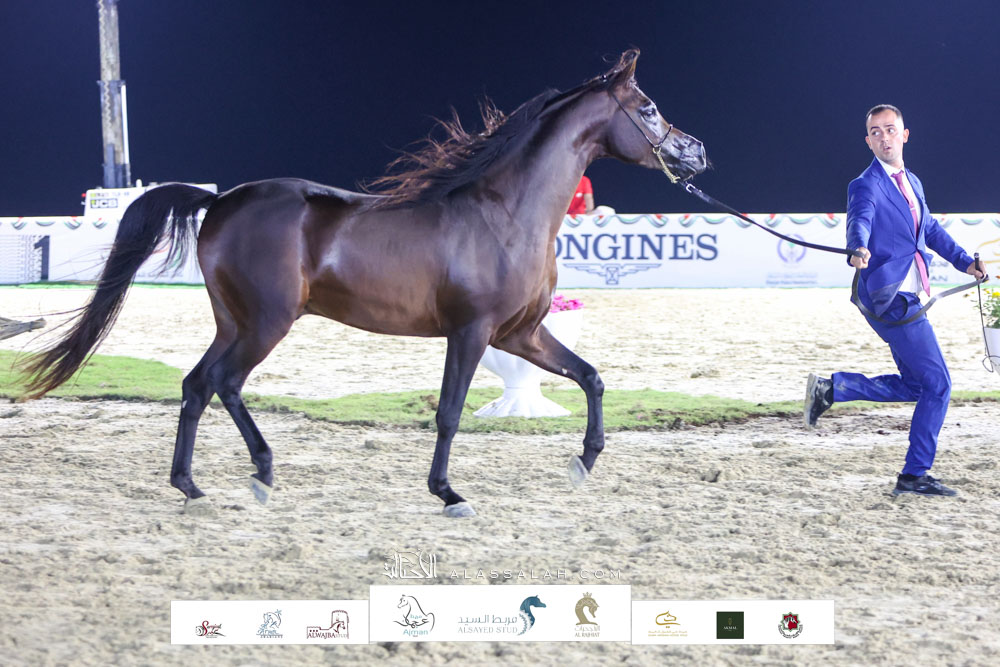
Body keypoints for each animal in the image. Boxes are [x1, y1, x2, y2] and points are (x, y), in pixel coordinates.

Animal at [22, 49, 707, 517]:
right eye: (648, 108)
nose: (697, 152)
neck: (503, 212)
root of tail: (220, 202)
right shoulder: (472, 332)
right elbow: (450, 413)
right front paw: (448, 492)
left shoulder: (521, 334)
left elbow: (590, 376)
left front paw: (583, 462)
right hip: (266, 322)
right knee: (224, 383)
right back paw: (259, 473)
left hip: (235, 321)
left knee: (196, 385)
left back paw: (193, 485)